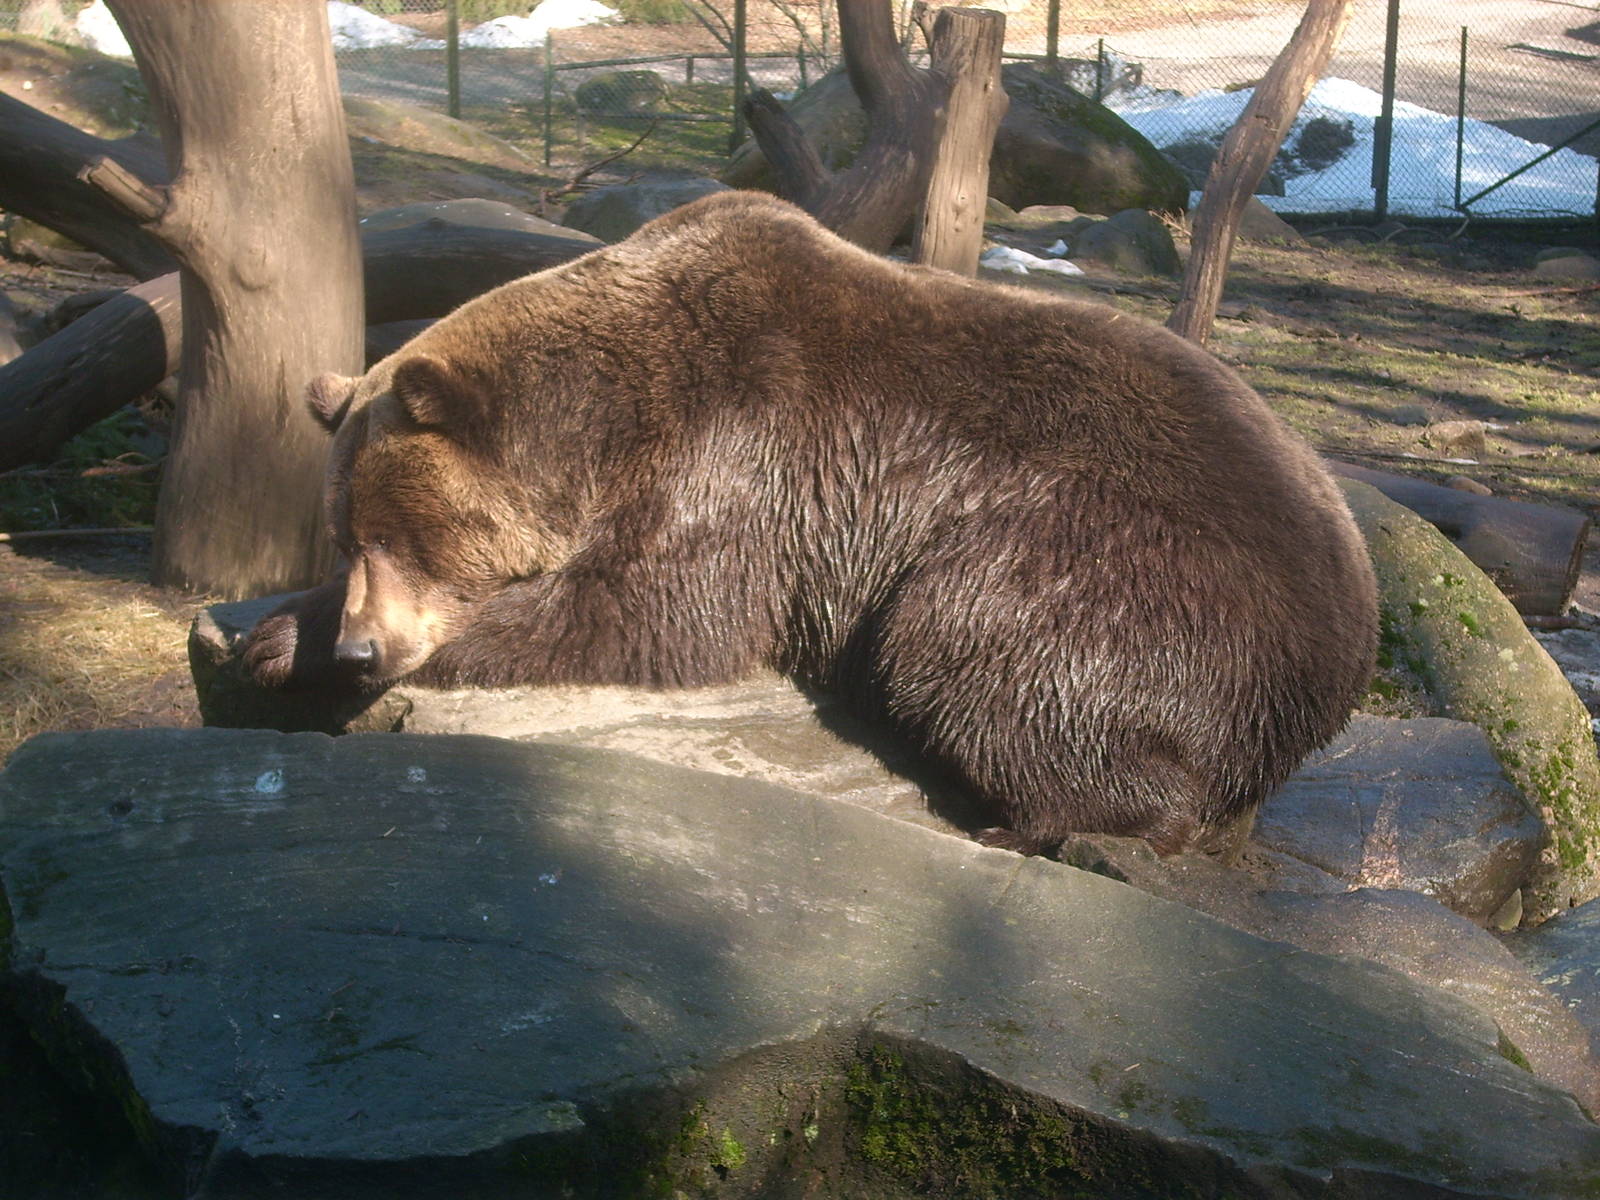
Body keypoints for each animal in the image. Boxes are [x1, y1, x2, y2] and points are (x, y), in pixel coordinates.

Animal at [244, 189, 1377, 857]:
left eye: (402, 537)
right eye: (345, 536)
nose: (362, 648)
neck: (601, 418)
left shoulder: (745, 453)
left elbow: (650, 610)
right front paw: (280, 635)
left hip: (1116, 560)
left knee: (971, 650)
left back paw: (1044, 825)